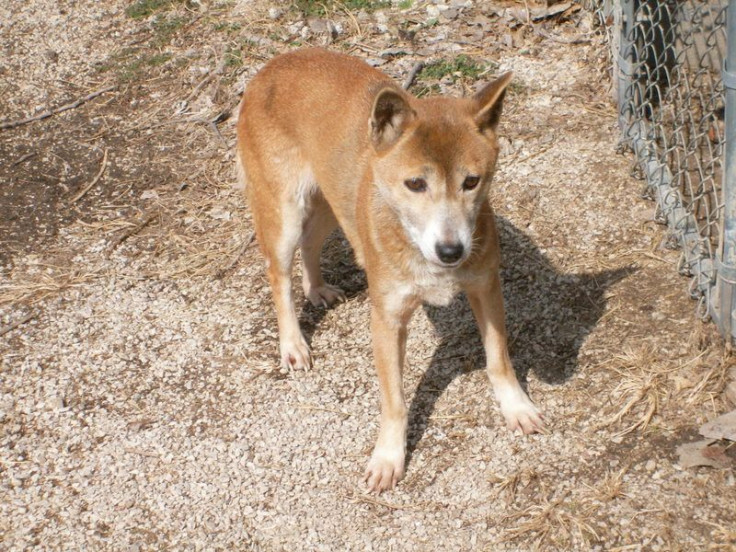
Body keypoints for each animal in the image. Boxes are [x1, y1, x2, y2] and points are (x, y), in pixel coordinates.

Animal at [236, 48, 540, 492]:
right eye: (415, 184)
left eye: (471, 181)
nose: (451, 250)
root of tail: (273, 65)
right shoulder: (387, 319)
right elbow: (395, 401)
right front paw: (388, 457)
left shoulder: (486, 288)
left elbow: (499, 359)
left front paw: (516, 406)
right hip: (285, 212)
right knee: (279, 276)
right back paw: (292, 343)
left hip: (331, 202)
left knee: (311, 243)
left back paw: (318, 288)